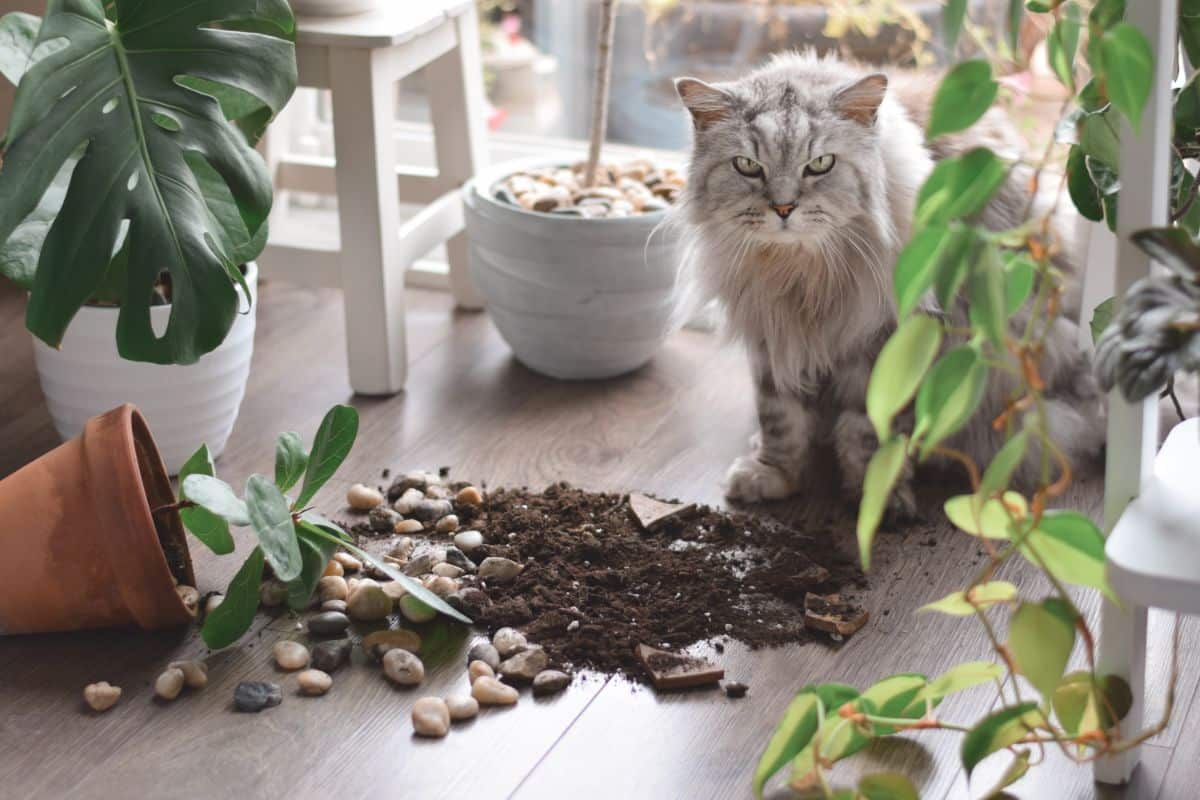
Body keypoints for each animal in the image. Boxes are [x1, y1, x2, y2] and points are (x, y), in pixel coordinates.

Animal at [672, 51, 1099, 513]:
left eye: (820, 164)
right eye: (748, 166)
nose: (784, 208)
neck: (802, 275)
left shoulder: (886, 339)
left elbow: (869, 428)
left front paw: (876, 496)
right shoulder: (769, 331)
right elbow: (780, 419)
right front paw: (772, 475)